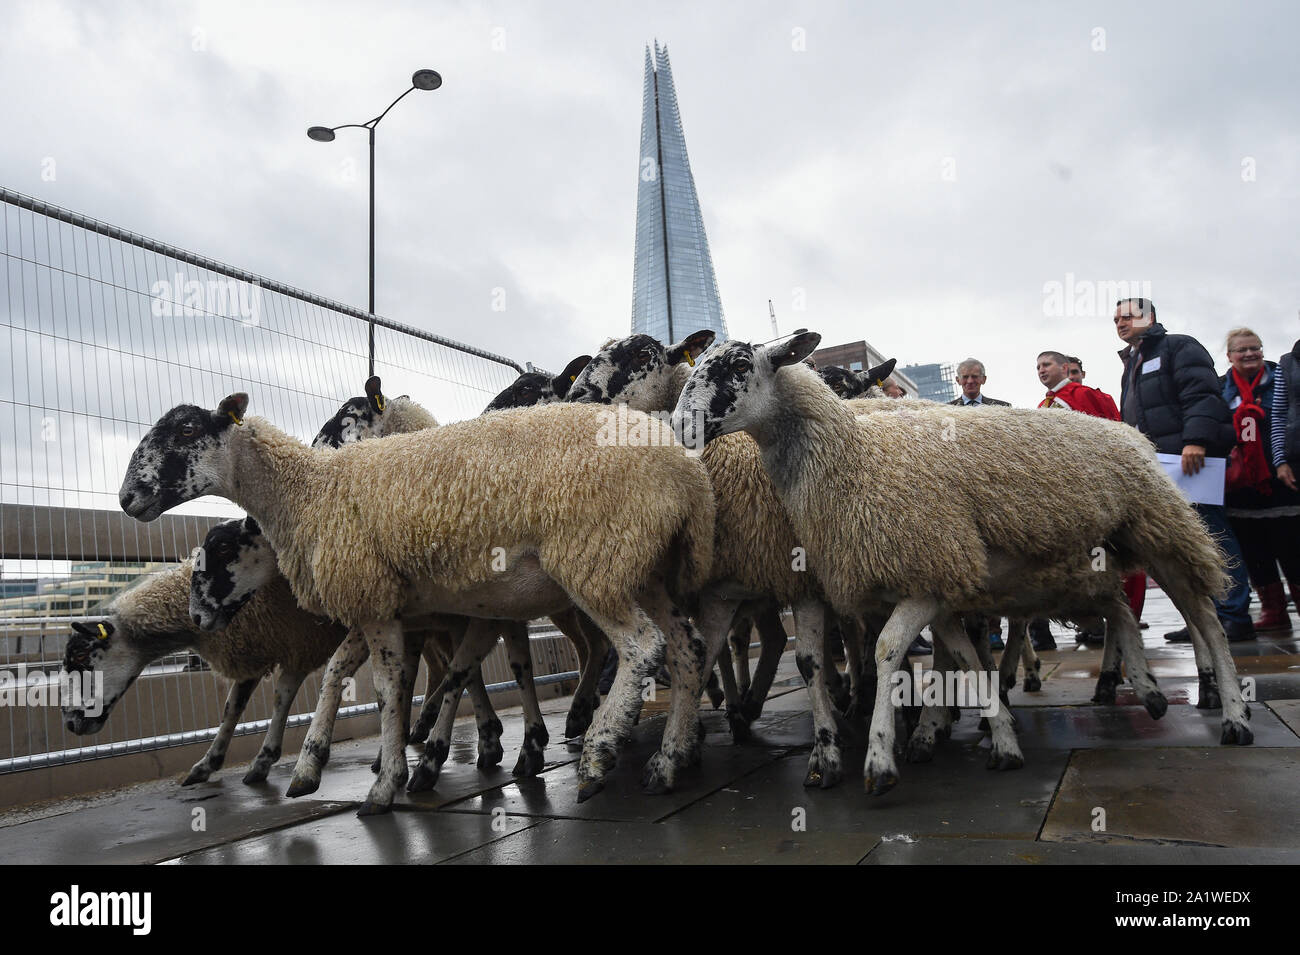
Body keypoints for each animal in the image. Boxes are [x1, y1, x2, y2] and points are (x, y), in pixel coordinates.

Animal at [60, 556, 348, 789]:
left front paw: (268, 758)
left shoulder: (301, 639)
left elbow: (281, 697)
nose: (70, 723)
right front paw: (210, 764)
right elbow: (233, 707)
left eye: (81, 656)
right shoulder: (259, 643)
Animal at [116, 397, 717, 815]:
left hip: (597, 556)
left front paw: (387, 784)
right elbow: (345, 675)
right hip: (644, 564)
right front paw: (311, 767)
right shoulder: (379, 599)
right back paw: (668, 761)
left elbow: (388, 687)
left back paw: (599, 753)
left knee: (642, 647)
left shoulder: (374, 600)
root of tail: (688, 476)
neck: (307, 492)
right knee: (687, 648)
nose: (127, 498)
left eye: (187, 430)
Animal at [670, 332, 1248, 795]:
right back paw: (1144, 691)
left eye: (737, 365)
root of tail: (1126, 432)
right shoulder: (938, 580)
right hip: (1091, 559)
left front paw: (882, 755)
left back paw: (1230, 711)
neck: (853, 455)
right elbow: (965, 658)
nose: (677, 425)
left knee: (1203, 615)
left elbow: (888, 652)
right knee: (1121, 609)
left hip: (1160, 531)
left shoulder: (925, 574)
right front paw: (995, 737)